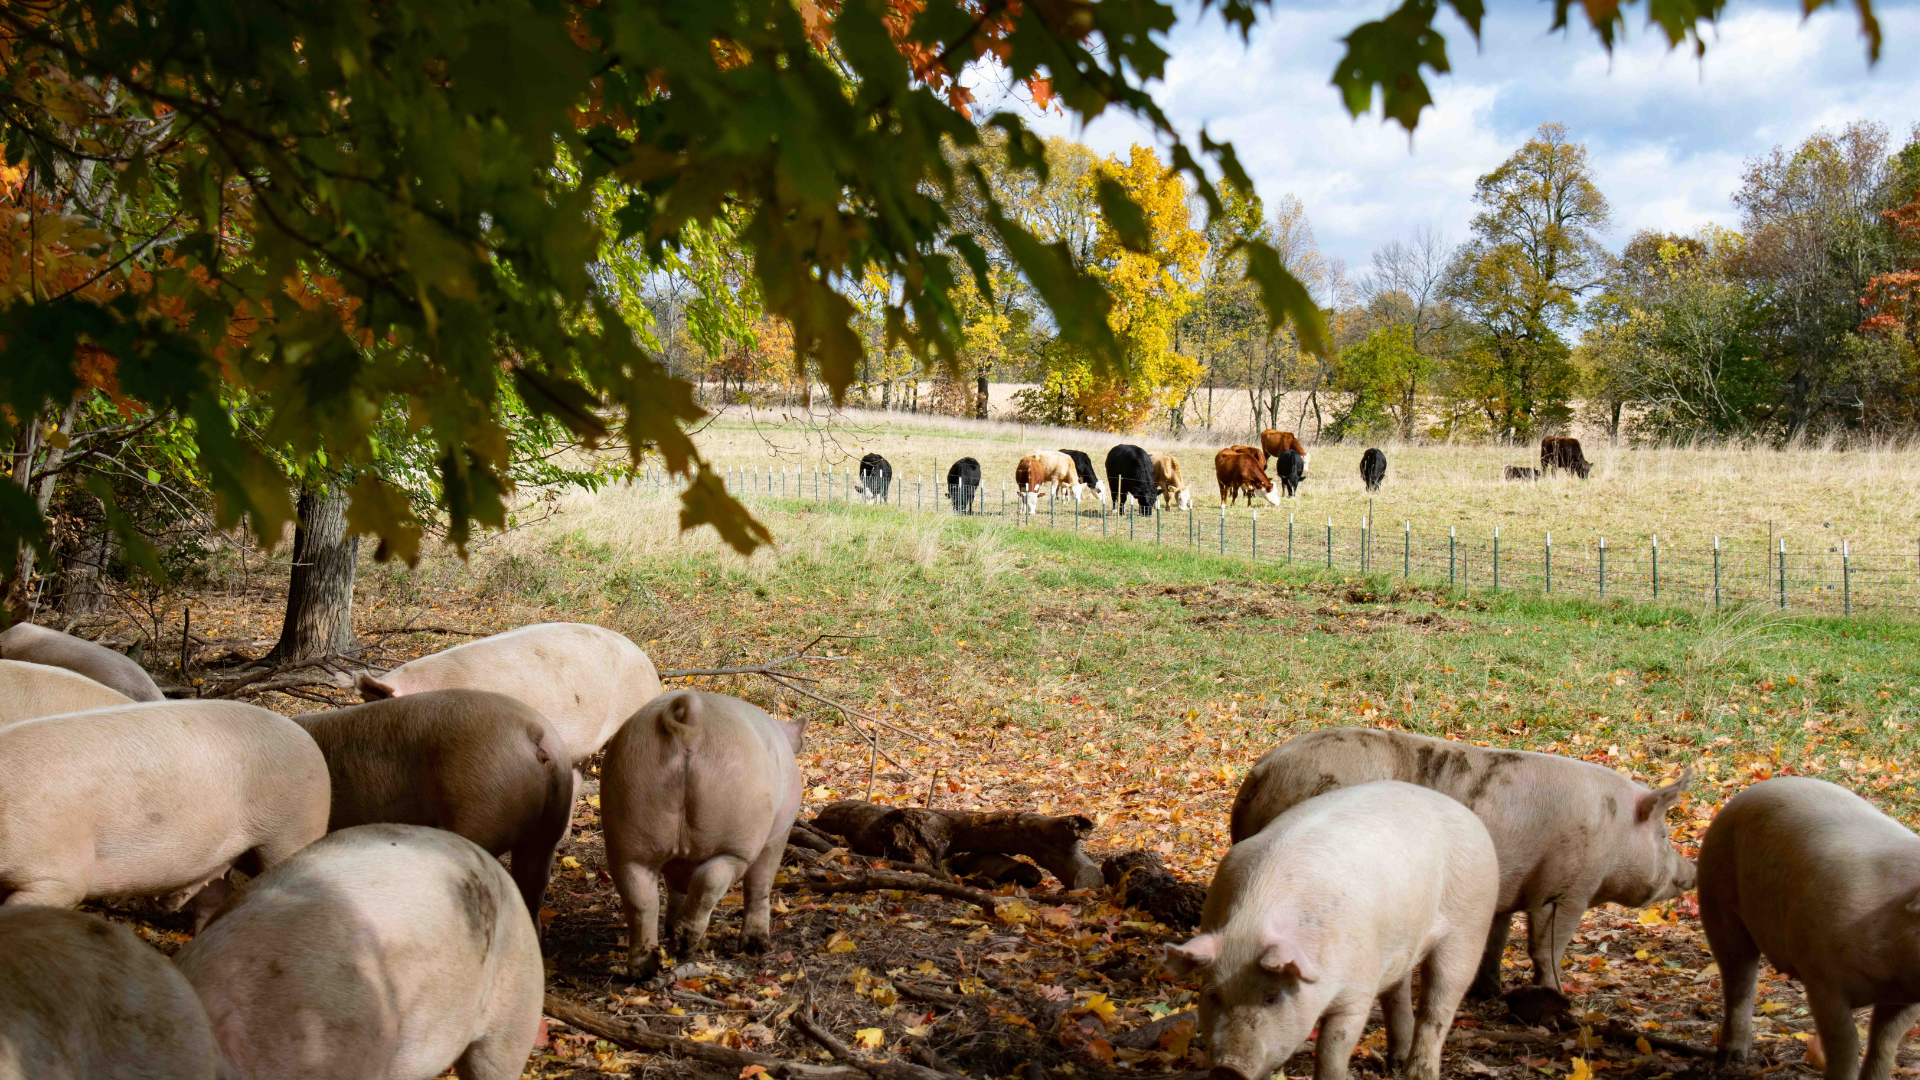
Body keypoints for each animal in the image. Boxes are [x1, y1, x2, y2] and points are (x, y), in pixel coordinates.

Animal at [602, 690, 803, 977]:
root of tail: (692, 722)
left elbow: (676, 889)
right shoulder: (778, 835)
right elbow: (760, 883)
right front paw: (756, 946)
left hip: (627, 812)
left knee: (640, 898)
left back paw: (646, 968)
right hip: (735, 838)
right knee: (712, 879)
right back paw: (686, 945)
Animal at [1167, 781, 1498, 1080]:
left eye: (1271, 998)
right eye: (1213, 995)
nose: (1228, 1069)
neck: (1255, 919)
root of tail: (1467, 813)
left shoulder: (1356, 993)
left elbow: (1332, 1052)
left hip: (1471, 923)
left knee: (1437, 1007)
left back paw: (1417, 1074)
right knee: (1397, 992)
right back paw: (1394, 1064)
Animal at [1230, 727, 1694, 997]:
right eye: (1665, 836)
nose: (1690, 872)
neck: (1614, 833)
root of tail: (1261, 769)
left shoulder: (1509, 890)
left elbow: (1496, 941)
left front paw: (1490, 993)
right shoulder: (1566, 889)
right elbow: (1548, 945)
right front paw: (1559, 998)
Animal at [1700, 776, 1920, 1080]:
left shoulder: (1906, 998)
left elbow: (1884, 1044)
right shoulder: (1822, 979)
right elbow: (1845, 1043)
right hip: (1717, 902)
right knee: (1739, 985)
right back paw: (1731, 1059)